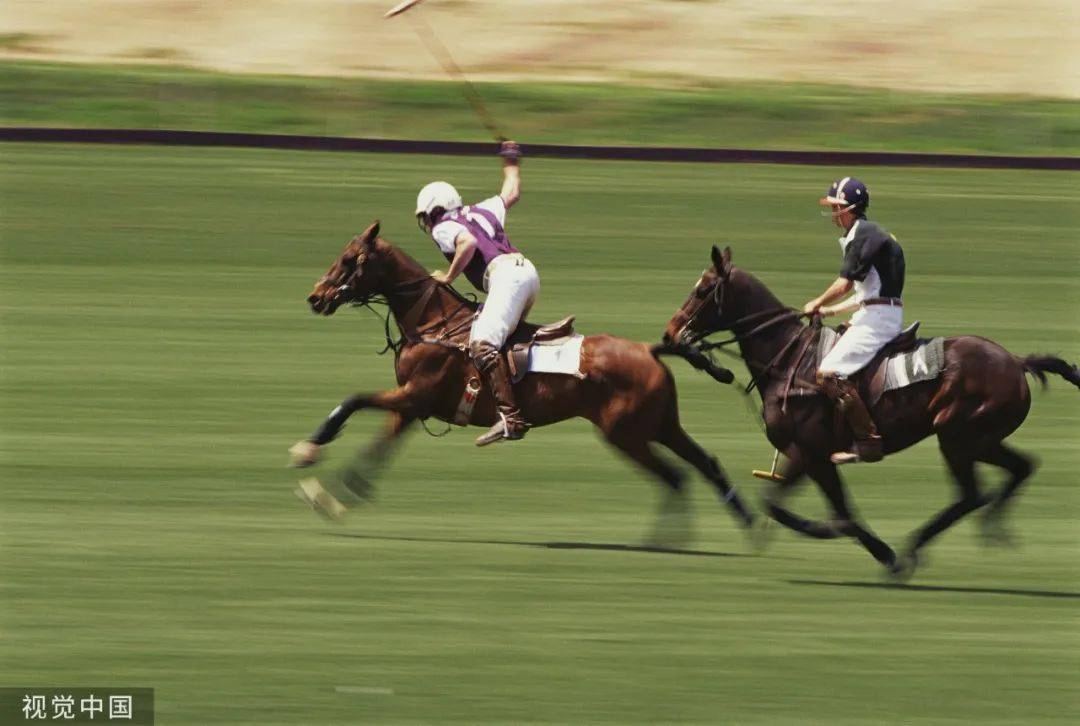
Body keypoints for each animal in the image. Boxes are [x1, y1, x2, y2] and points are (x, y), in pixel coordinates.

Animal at [291, 223, 756, 535]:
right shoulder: (412, 405)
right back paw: (749, 525)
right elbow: (376, 450)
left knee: (675, 477)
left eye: (349, 259)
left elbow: (353, 400)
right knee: (704, 465)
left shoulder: (412, 394)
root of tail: (648, 349)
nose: (315, 297)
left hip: (626, 433)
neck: (433, 323)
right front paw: (333, 495)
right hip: (661, 424)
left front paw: (308, 452)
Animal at [660, 246, 1075, 574]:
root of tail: (1017, 362)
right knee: (1019, 468)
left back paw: (913, 549)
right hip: (979, 439)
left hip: (957, 436)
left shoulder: (812, 454)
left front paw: (874, 549)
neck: (789, 359)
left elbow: (837, 513)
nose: (670, 333)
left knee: (974, 494)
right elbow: (777, 504)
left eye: (702, 290)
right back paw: (989, 525)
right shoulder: (804, 454)